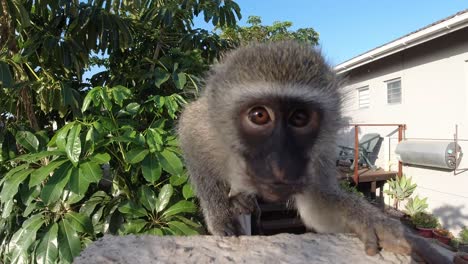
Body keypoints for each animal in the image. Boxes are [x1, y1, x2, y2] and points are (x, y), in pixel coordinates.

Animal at [177, 41, 448, 264]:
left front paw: (374, 222)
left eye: (300, 118)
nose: (280, 162)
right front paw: (220, 215)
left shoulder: (319, 152)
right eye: (259, 115)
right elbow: (189, 131)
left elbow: (318, 203)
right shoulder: (206, 126)